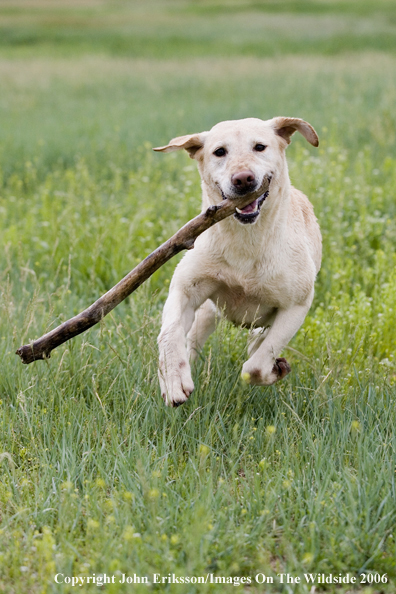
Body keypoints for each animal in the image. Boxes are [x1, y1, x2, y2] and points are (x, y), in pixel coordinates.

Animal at [154, 118, 322, 410]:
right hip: (208, 313)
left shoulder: (297, 305)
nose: (243, 179)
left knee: (259, 342)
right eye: (219, 151)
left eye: (260, 147)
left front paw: (274, 369)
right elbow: (169, 333)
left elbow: (256, 364)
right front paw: (173, 380)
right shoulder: (184, 290)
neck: (246, 240)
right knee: (192, 340)